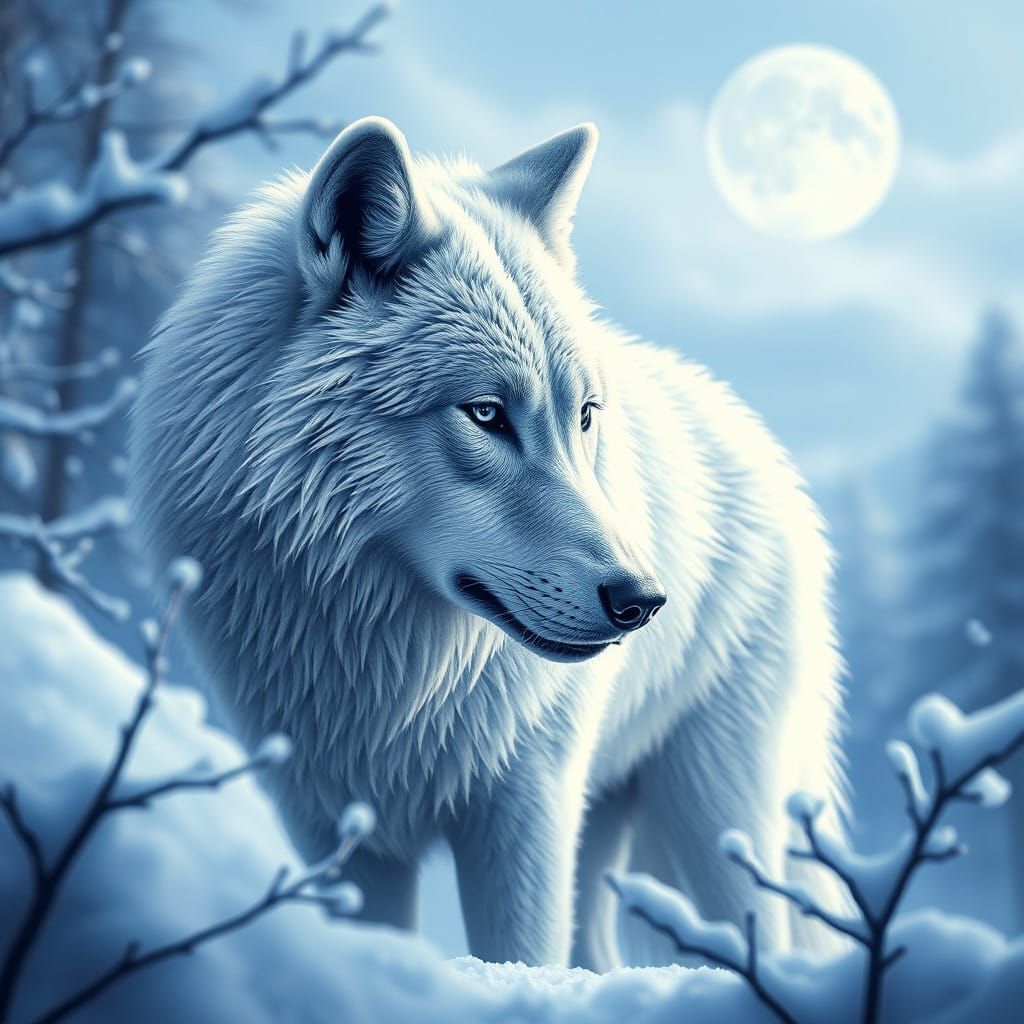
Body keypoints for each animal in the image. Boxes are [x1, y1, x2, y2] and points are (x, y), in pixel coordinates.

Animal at [130, 116, 846, 969]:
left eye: (584, 415)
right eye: (485, 414)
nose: (643, 600)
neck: (382, 659)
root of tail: (755, 436)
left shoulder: (523, 804)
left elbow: (521, 959)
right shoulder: (330, 817)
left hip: (713, 809)